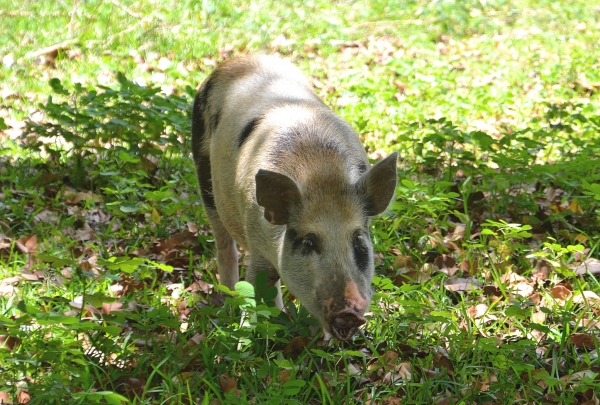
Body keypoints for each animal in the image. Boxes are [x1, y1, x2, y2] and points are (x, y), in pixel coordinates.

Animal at [192, 52, 398, 338]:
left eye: (358, 239)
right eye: (309, 241)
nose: (347, 312)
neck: (320, 176)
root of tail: (241, 58)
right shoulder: (258, 246)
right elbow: (255, 291)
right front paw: (247, 334)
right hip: (204, 175)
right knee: (224, 245)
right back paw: (227, 304)